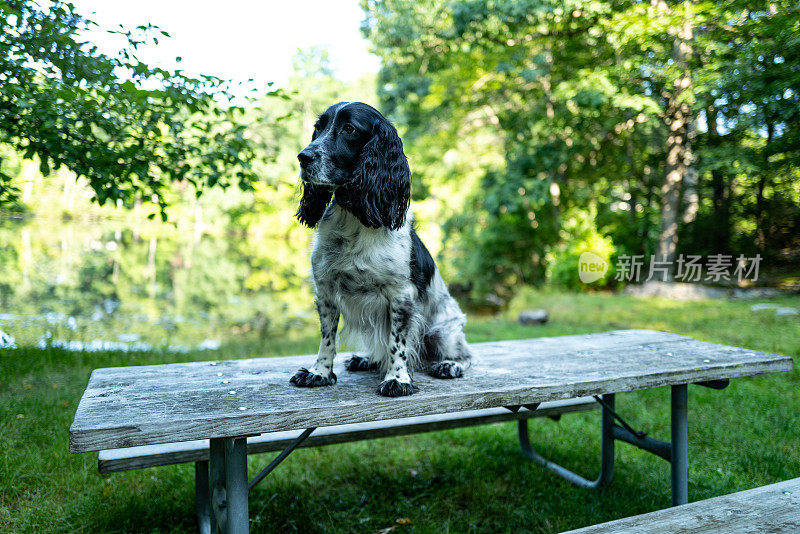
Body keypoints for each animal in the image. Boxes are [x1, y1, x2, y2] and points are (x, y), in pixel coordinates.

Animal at [290, 102, 472, 398]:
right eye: (319, 127)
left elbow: (398, 343)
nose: (303, 157)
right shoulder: (325, 290)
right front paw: (319, 373)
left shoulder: (401, 295)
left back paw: (449, 365)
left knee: (464, 355)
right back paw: (365, 359)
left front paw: (398, 380)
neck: (354, 217)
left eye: (349, 129)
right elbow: (327, 338)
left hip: (445, 329)